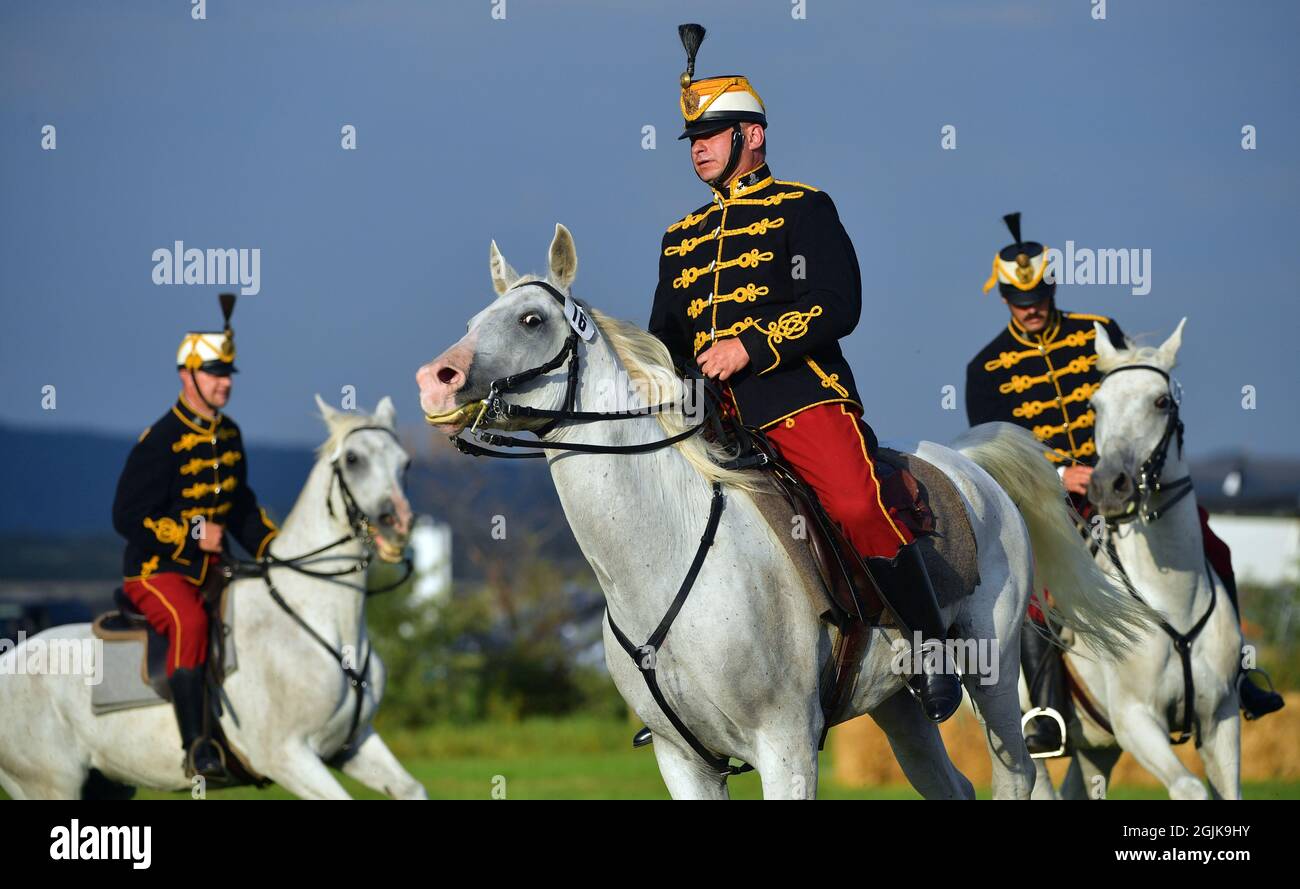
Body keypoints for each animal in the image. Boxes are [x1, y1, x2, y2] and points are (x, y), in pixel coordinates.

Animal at [0, 395, 426, 800]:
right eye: (353, 459)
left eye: (405, 463)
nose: (399, 525)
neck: (321, 620)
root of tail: (10, 657)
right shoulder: (286, 757)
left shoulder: (353, 746)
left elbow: (412, 789)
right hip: (49, 785)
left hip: (108, 783)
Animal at [416, 222, 1149, 800]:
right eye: (473, 322)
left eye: (531, 320)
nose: (434, 380)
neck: (662, 554)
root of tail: (967, 464)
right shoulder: (684, 763)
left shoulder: (787, 747)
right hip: (900, 710)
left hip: (993, 680)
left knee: (1018, 777)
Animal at [1024, 322, 1248, 800]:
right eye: (1096, 405)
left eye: (1161, 401)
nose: (1109, 486)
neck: (1172, 602)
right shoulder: (1136, 721)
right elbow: (1190, 788)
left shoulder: (1221, 721)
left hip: (1098, 747)